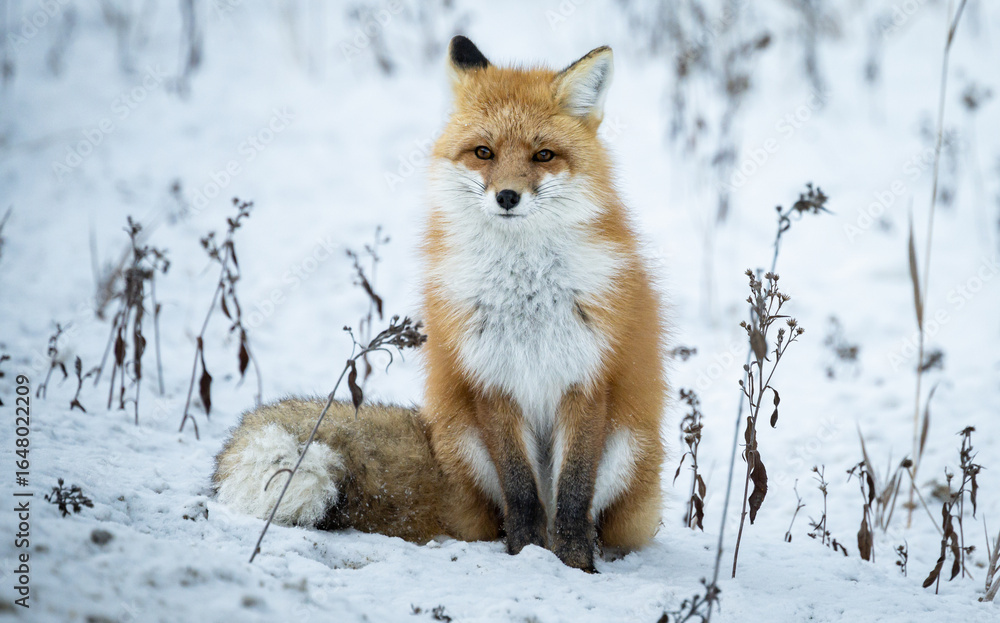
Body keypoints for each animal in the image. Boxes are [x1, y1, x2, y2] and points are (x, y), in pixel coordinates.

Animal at [213, 36, 667, 572]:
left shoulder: (586, 376)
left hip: (629, 447)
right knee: (501, 514)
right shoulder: (489, 378)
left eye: (544, 155)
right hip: (465, 440)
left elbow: (574, 494)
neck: (527, 291)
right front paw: (528, 556)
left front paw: (574, 566)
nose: (507, 197)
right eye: (483, 152)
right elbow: (521, 493)